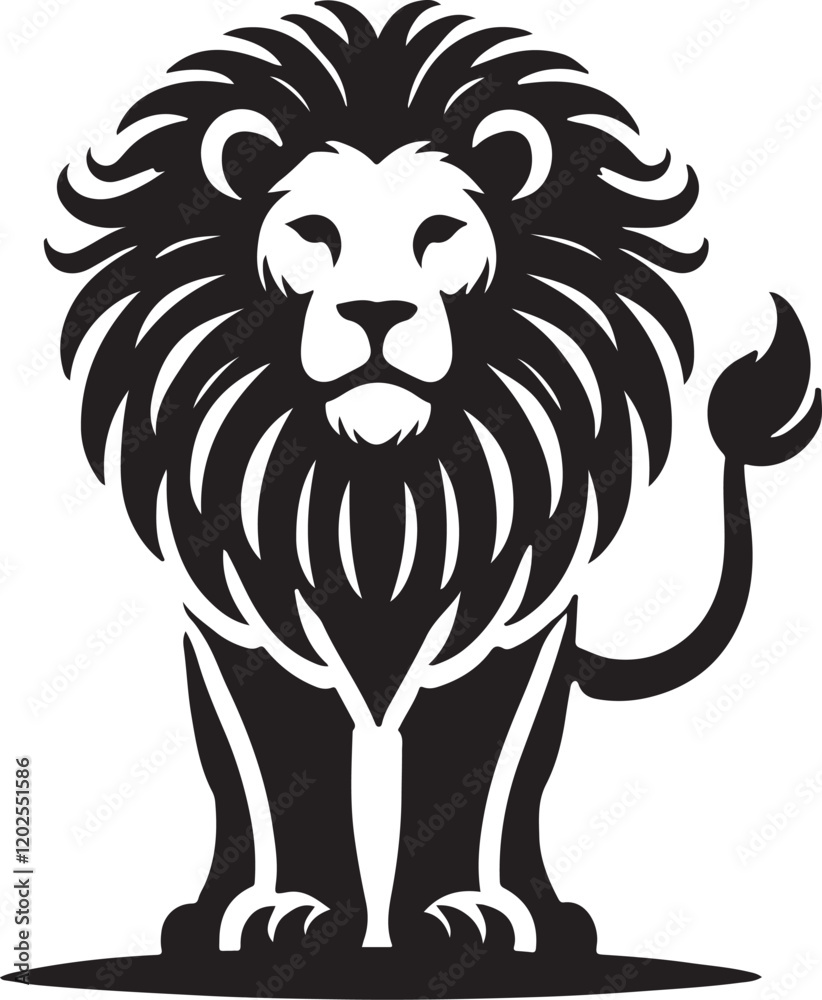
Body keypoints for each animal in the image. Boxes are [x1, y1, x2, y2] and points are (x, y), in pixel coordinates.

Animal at [44, 0, 819, 994]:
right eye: (314, 233)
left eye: (441, 233)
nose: (378, 314)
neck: (376, 481)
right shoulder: (251, 620)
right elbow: (278, 766)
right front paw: (285, 923)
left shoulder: (506, 619)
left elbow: (475, 768)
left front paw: (471, 923)